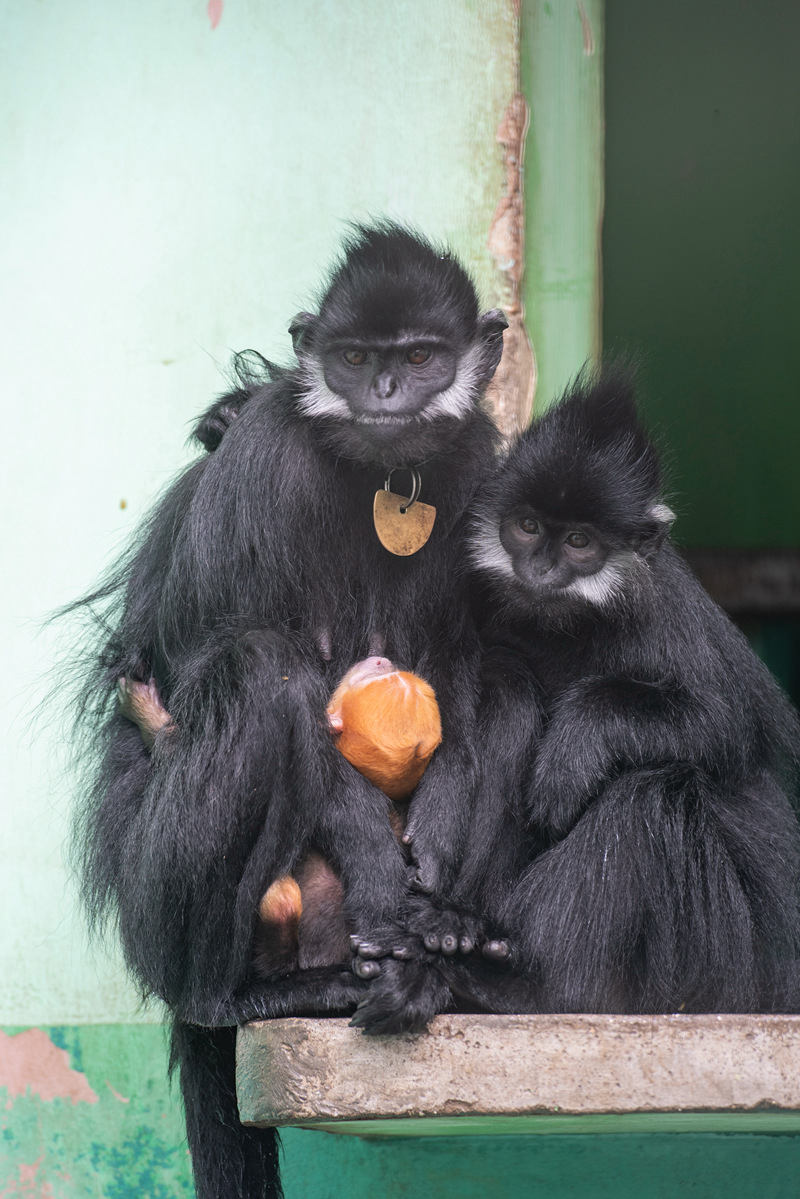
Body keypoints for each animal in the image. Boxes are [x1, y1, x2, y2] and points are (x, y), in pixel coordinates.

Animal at [117, 657, 443, 983]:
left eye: (366, 678)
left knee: (278, 898)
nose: (379, 660)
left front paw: (146, 712)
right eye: (376, 673)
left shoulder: (316, 771)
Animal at [352, 364, 800, 1031]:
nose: (540, 569)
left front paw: (578, 742)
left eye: (580, 542)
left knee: (653, 799)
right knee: (510, 686)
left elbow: (734, 728)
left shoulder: (664, 609)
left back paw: (525, 990)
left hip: (741, 962)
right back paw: (451, 927)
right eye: (529, 527)